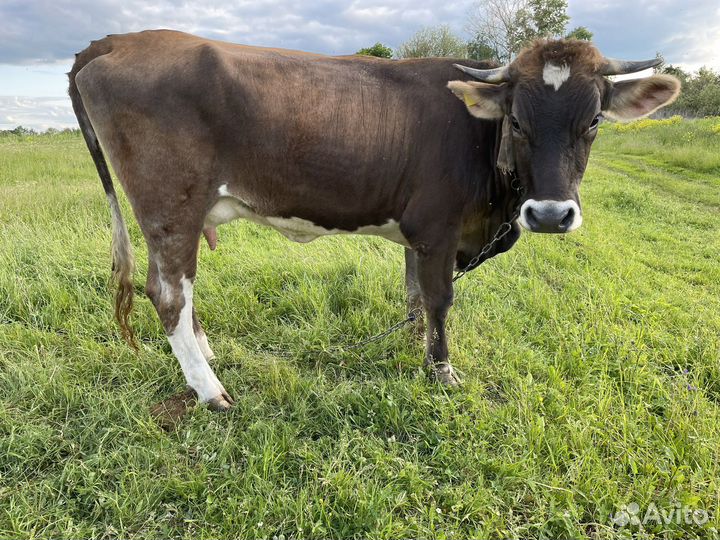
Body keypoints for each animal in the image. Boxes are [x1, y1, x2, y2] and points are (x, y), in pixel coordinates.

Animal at [68, 30, 680, 411]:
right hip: (170, 205)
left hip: (179, 216)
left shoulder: (417, 232)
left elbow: (413, 296)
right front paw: (441, 369)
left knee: (177, 289)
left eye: (594, 120)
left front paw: (413, 344)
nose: (550, 214)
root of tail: (121, 40)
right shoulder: (437, 230)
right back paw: (210, 390)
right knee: (168, 292)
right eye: (518, 121)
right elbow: (439, 299)